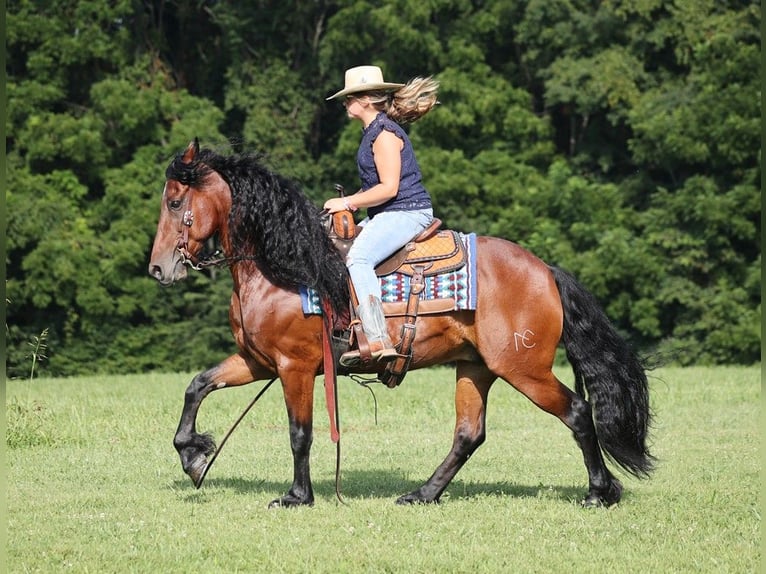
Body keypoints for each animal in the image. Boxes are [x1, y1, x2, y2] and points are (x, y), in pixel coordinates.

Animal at [148, 142, 656, 510]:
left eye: (174, 202)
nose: (158, 269)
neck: (284, 267)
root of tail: (544, 270)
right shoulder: (258, 362)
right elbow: (197, 386)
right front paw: (193, 454)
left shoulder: (295, 366)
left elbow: (299, 433)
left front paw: (296, 496)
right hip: (477, 368)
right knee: (468, 434)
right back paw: (422, 494)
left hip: (524, 369)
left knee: (578, 413)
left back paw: (599, 492)